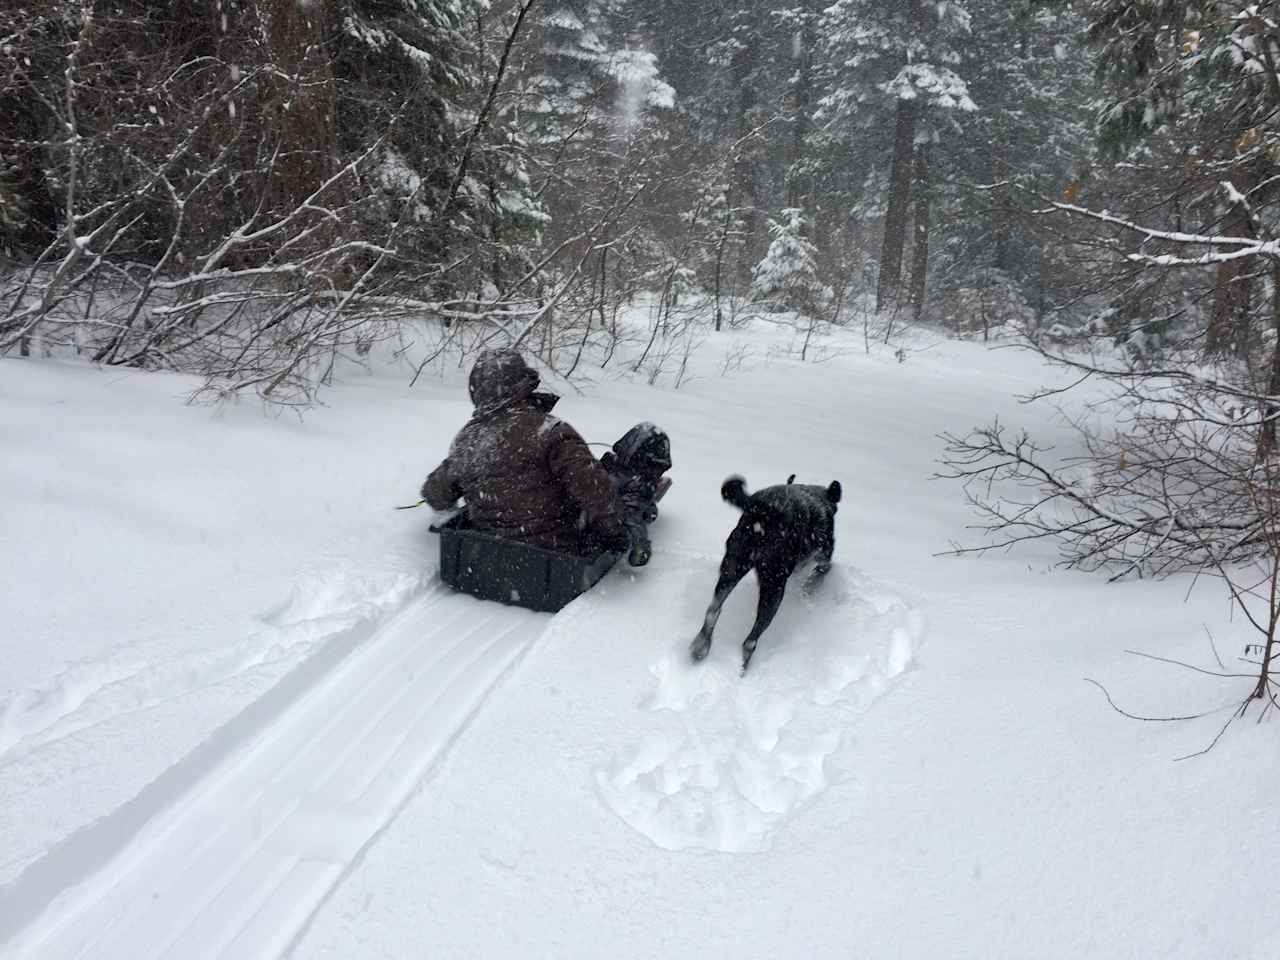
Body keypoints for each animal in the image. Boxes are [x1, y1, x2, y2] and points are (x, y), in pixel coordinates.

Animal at [691, 476, 839, 670]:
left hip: (732, 567)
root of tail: (764, 511)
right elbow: (816, 577)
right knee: (750, 640)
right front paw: (808, 590)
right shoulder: (823, 561)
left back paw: (701, 645)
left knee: (713, 610)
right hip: (774, 588)